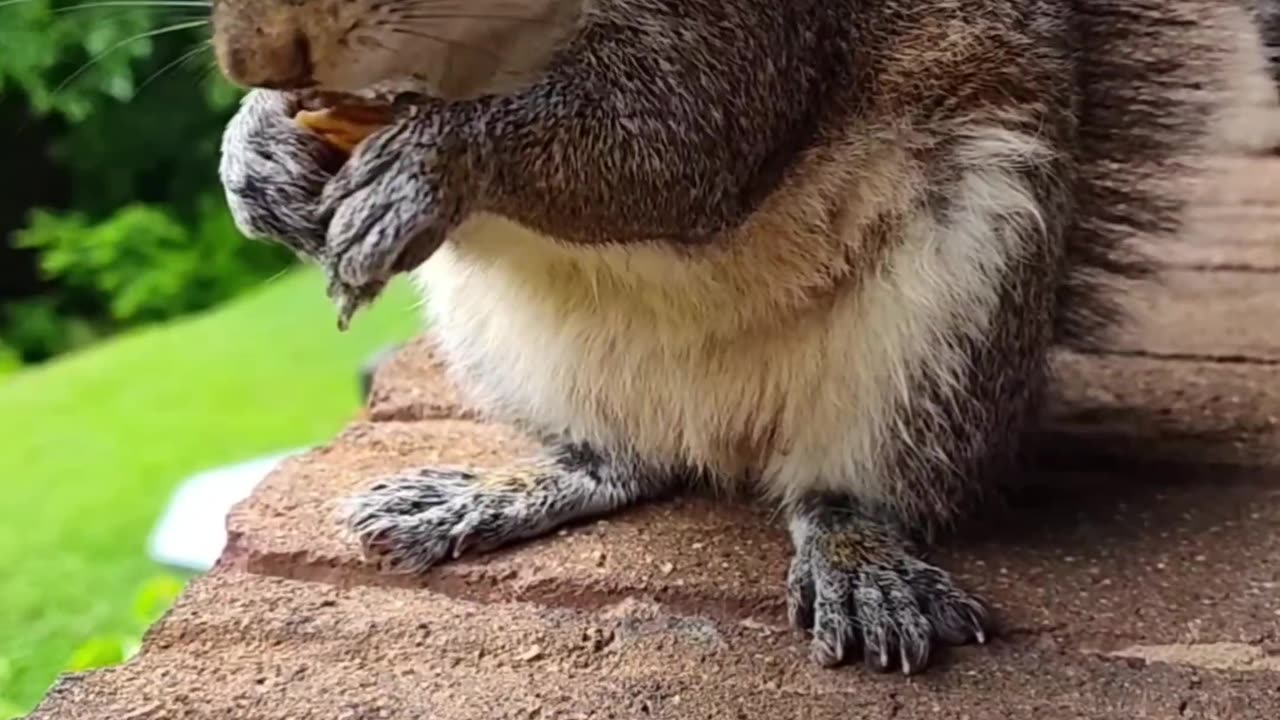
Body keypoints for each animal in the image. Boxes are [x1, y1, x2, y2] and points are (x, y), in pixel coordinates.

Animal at [212, 0, 1269, 674]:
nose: (258, 59)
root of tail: (719, 436)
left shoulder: (740, 41)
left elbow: (678, 143)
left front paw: (434, 161)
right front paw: (255, 146)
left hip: (949, 325)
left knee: (854, 489)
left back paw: (862, 567)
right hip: (503, 348)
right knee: (624, 463)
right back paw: (483, 496)